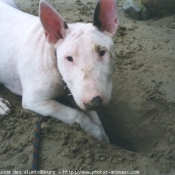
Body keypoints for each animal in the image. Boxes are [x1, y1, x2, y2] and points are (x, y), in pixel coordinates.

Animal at [0, 0, 119, 142]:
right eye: (69, 58)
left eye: (102, 52)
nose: (94, 101)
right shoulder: (34, 100)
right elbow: (75, 114)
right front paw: (95, 132)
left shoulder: (76, 93)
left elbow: (93, 115)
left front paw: (104, 136)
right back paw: (2, 106)